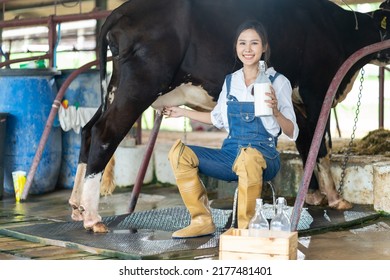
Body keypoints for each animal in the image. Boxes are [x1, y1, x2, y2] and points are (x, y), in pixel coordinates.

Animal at [68, 0, 388, 232]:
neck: (339, 30)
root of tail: (122, 9)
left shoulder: (297, 99)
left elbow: (303, 142)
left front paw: (312, 195)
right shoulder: (317, 91)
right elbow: (319, 145)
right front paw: (335, 199)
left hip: (117, 85)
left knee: (87, 130)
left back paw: (76, 206)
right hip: (139, 85)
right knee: (104, 134)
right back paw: (93, 218)